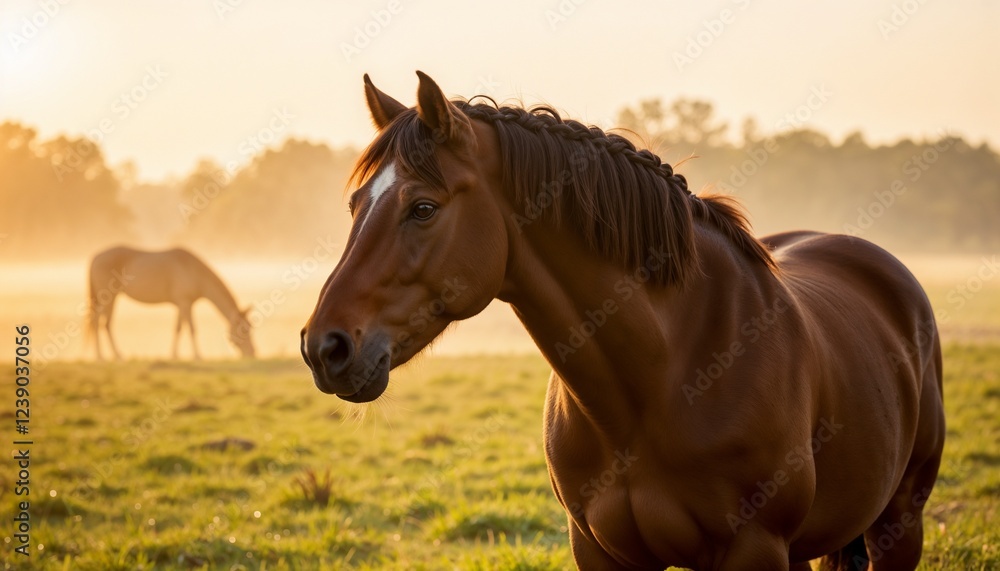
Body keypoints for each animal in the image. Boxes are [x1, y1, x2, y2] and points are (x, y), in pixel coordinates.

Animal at [88, 246, 255, 360]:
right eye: (244, 330)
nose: (253, 353)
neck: (194, 271)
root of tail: (96, 256)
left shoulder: (181, 304)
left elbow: (178, 328)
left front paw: (174, 355)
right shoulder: (185, 302)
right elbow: (192, 328)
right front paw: (198, 356)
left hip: (109, 298)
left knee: (103, 322)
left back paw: (111, 355)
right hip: (107, 297)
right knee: (99, 322)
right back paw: (104, 356)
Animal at [300, 72, 945, 570]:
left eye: (423, 208)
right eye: (356, 205)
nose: (323, 347)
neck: (665, 380)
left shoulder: (756, 550)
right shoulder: (600, 551)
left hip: (900, 525)